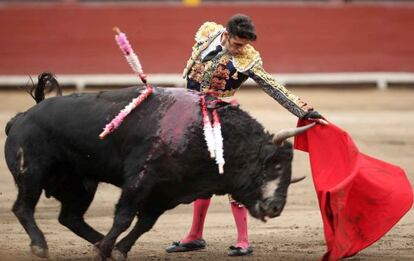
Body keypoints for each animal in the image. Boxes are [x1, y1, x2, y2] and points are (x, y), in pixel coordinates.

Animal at [4, 73, 310, 258]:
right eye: (273, 166)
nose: (276, 207)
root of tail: (22, 117)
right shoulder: (140, 179)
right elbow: (125, 216)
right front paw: (108, 249)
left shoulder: (168, 191)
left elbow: (145, 223)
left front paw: (117, 249)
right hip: (32, 173)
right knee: (23, 207)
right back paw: (41, 246)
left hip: (79, 184)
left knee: (70, 217)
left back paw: (98, 241)